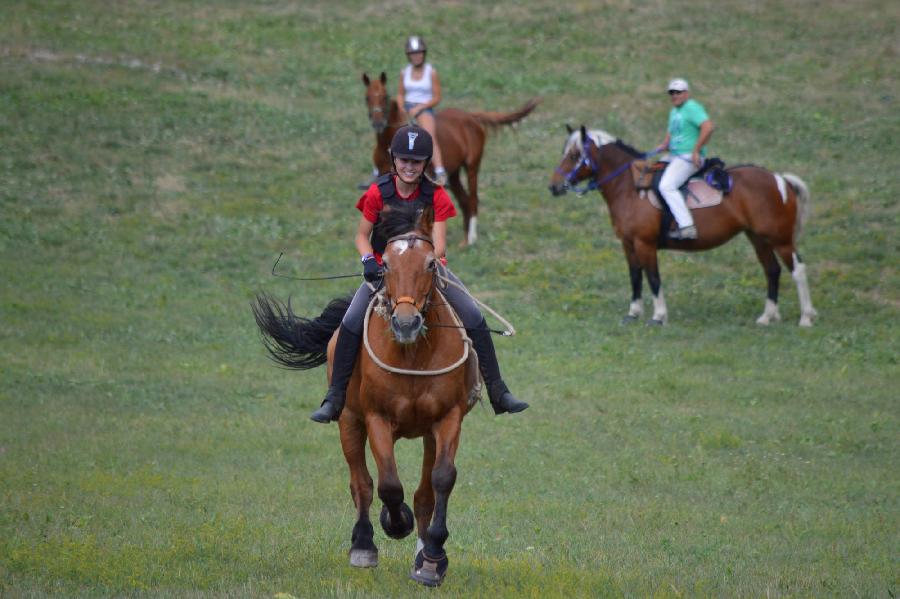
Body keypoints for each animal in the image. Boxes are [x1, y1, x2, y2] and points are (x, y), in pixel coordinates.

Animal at [253, 205, 482, 584]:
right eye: (385, 264)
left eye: (431, 263)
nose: (406, 323)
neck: (412, 354)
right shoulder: (377, 419)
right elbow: (388, 485)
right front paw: (395, 523)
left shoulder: (447, 418)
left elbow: (442, 479)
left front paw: (433, 558)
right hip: (348, 421)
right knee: (360, 483)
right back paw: (363, 545)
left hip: (426, 434)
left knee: (424, 492)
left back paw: (421, 553)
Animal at [362, 71, 536, 246]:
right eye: (367, 97)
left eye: (384, 96)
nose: (378, 122)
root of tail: (471, 116)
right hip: (454, 175)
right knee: (464, 201)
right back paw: (464, 240)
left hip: (472, 167)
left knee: (473, 200)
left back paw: (471, 239)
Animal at [544, 123, 820, 326]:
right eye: (564, 153)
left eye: (574, 155)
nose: (554, 186)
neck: (630, 187)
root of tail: (779, 179)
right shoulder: (628, 244)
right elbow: (635, 276)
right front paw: (633, 313)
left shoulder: (644, 244)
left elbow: (653, 278)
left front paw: (658, 316)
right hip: (758, 238)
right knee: (772, 271)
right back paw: (766, 317)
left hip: (780, 239)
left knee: (798, 270)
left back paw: (806, 317)